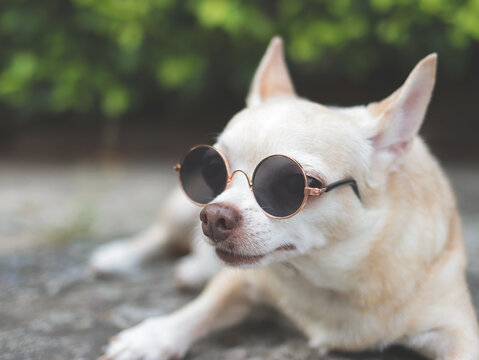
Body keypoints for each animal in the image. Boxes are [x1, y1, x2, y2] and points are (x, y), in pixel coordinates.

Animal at [93, 37, 479, 360]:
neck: (326, 276)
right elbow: (203, 308)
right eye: (213, 168)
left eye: (296, 184)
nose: (214, 215)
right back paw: (119, 256)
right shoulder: (243, 280)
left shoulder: (456, 329)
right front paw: (154, 335)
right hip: (180, 208)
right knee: (158, 235)